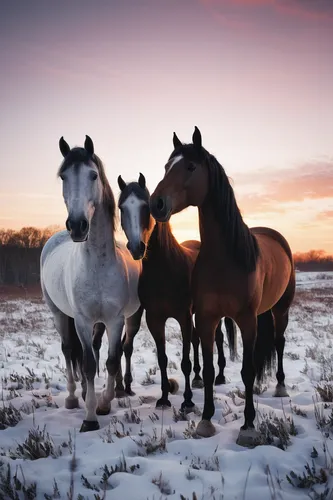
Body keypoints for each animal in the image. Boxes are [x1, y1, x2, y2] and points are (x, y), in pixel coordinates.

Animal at [40, 135, 141, 432]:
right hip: (59, 314)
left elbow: (110, 361)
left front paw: (105, 403)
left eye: (93, 175)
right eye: (63, 176)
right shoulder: (83, 321)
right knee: (68, 350)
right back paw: (74, 397)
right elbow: (86, 364)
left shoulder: (114, 320)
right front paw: (90, 417)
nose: (77, 226)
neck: (97, 264)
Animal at [116, 175, 236, 410]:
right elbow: (162, 359)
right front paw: (164, 398)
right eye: (121, 208)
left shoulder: (182, 316)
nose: (136, 247)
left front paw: (188, 401)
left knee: (217, 338)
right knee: (198, 339)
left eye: (146, 206)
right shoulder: (155, 319)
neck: (165, 269)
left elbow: (186, 360)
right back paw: (199, 378)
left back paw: (219, 376)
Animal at [149, 126, 294, 446]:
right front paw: (205, 419)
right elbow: (208, 365)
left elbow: (248, 370)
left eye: (191, 166)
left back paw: (280, 386)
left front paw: (249, 425)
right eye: (166, 166)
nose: (156, 204)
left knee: (279, 343)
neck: (226, 257)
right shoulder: (206, 318)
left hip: (281, 310)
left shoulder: (247, 320)